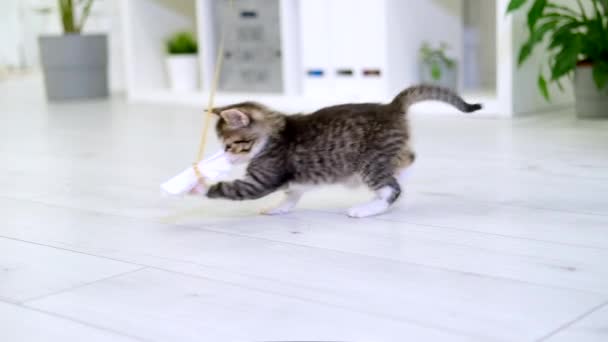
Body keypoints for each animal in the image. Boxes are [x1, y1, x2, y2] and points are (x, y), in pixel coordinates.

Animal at [197, 86, 482, 219]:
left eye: (230, 145)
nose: (227, 157)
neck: (273, 136)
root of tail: (391, 107)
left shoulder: (263, 179)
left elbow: (229, 188)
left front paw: (198, 185)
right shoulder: (293, 181)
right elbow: (292, 194)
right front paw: (280, 208)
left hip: (370, 163)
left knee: (392, 188)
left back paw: (367, 209)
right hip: (389, 156)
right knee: (407, 161)